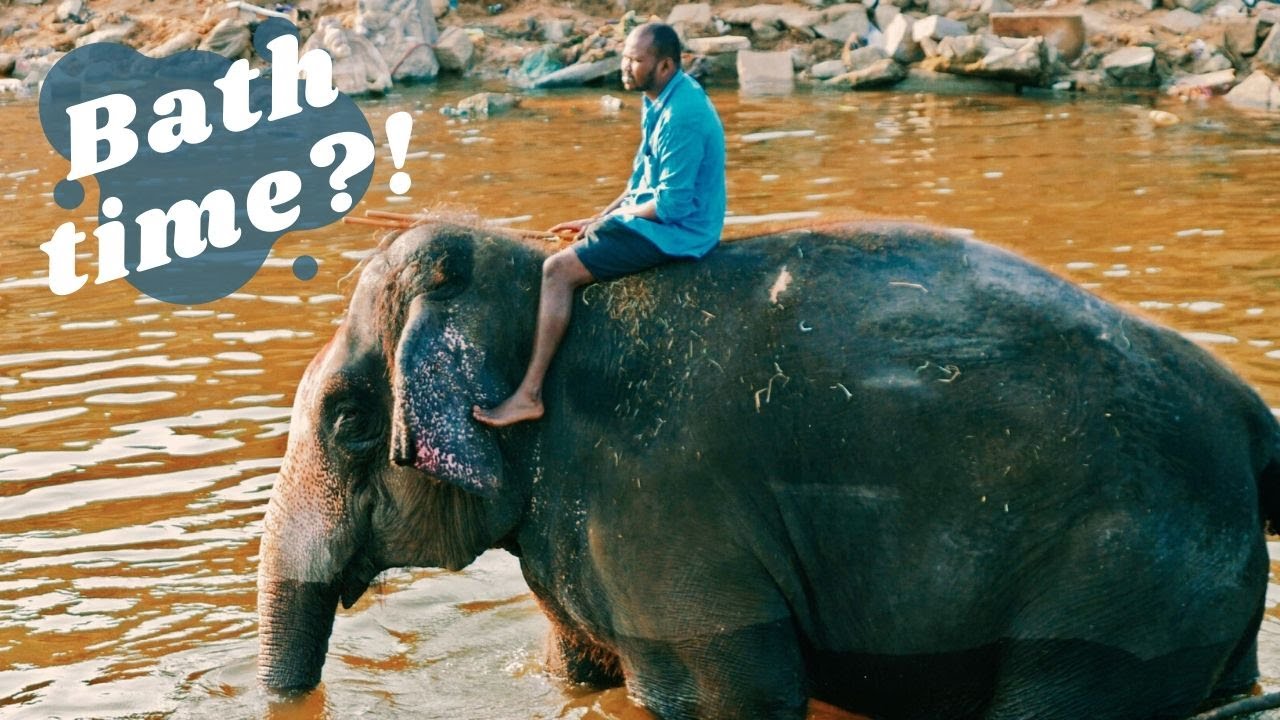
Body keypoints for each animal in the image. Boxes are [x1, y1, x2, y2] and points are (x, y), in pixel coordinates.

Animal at [256, 219, 1280, 720]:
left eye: (350, 422)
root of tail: (1253, 427)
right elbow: (575, 672)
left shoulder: (657, 511)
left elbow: (727, 697)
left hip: (1124, 583)